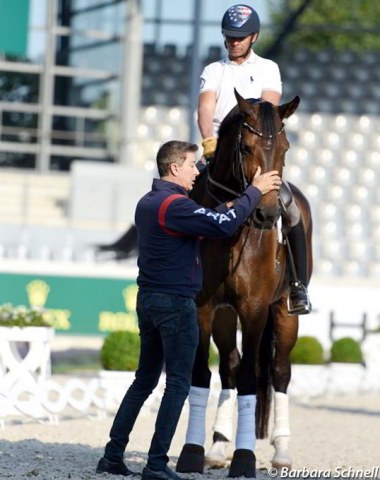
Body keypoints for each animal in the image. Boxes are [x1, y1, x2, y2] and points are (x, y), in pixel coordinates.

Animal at [177, 90, 314, 476]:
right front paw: (193, 453)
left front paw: (245, 458)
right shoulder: (204, 308)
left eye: (285, 148)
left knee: (279, 371)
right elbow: (201, 376)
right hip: (226, 315)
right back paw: (218, 446)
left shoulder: (254, 311)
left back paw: (281, 451)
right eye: (245, 148)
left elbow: (255, 381)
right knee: (231, 367)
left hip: (283, 312)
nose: (267, 215)